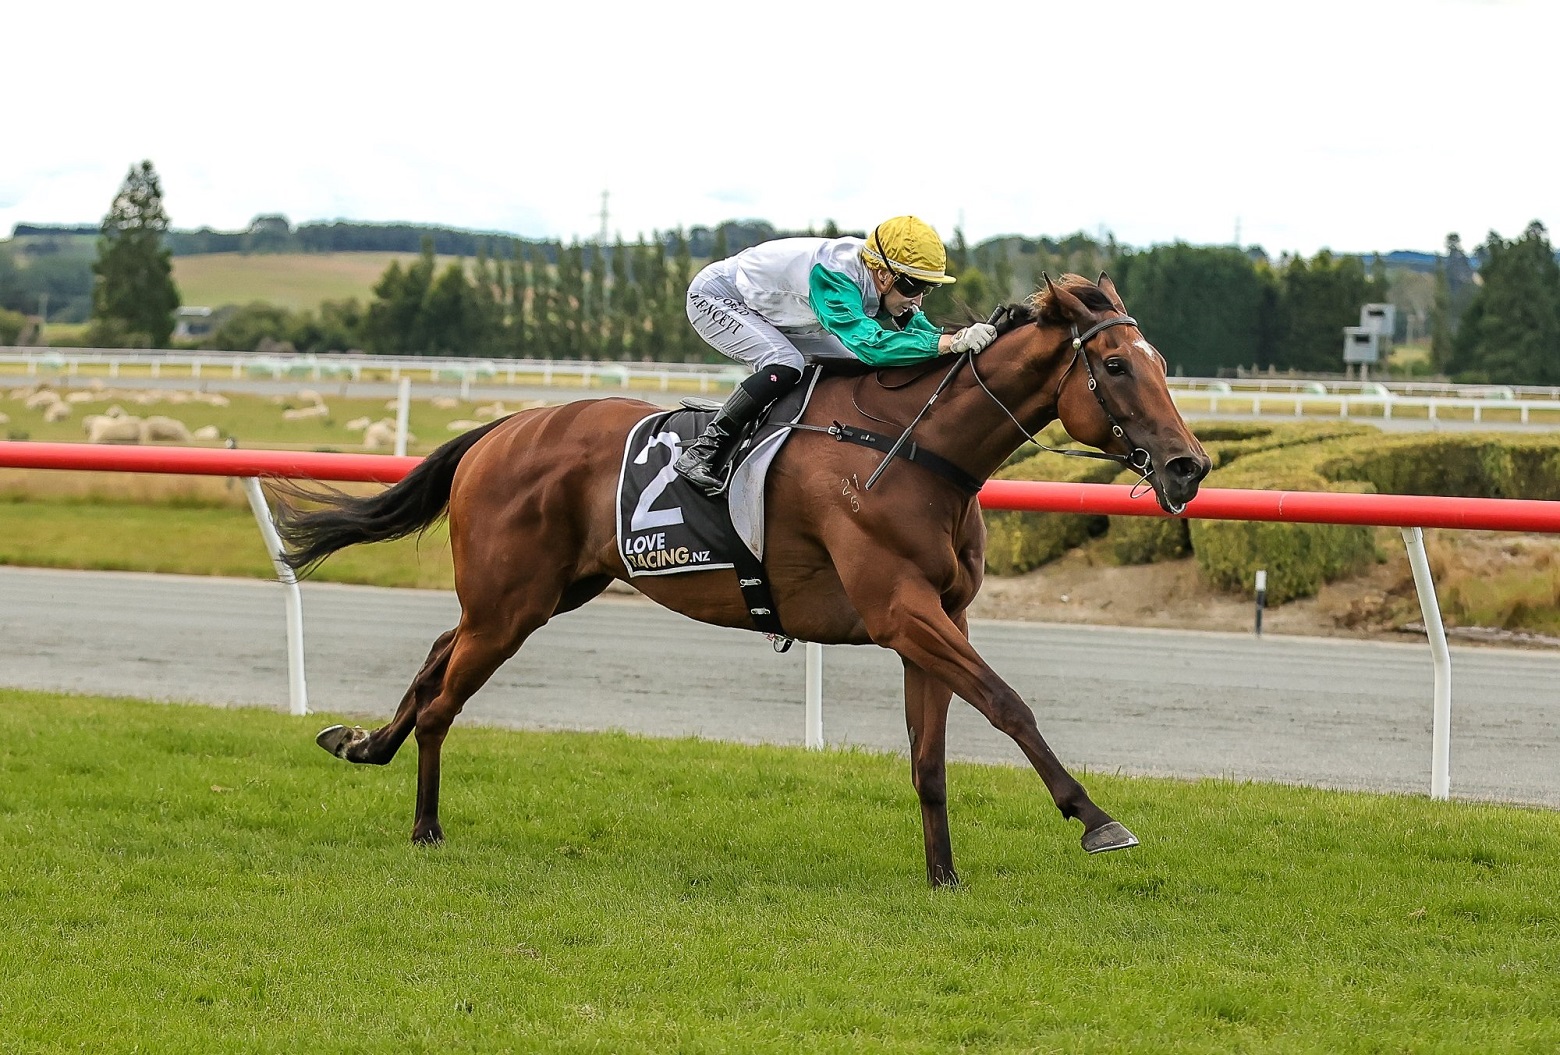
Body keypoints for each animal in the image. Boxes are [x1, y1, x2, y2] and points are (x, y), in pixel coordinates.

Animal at [277, 269, 1204, 880]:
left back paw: (362, 741)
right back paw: (425, 825)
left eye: (1162, 361)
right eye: (1115, 366)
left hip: (542, 591)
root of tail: (498, 430)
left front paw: (943, 874)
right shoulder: (901, 610)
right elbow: (1010, 703)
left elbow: (930, 756)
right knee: (446, 696)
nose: (1189, 464)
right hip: (513, 603)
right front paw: (1096, 818)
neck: (914, 450)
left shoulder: (938, 618)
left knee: (440, 647)